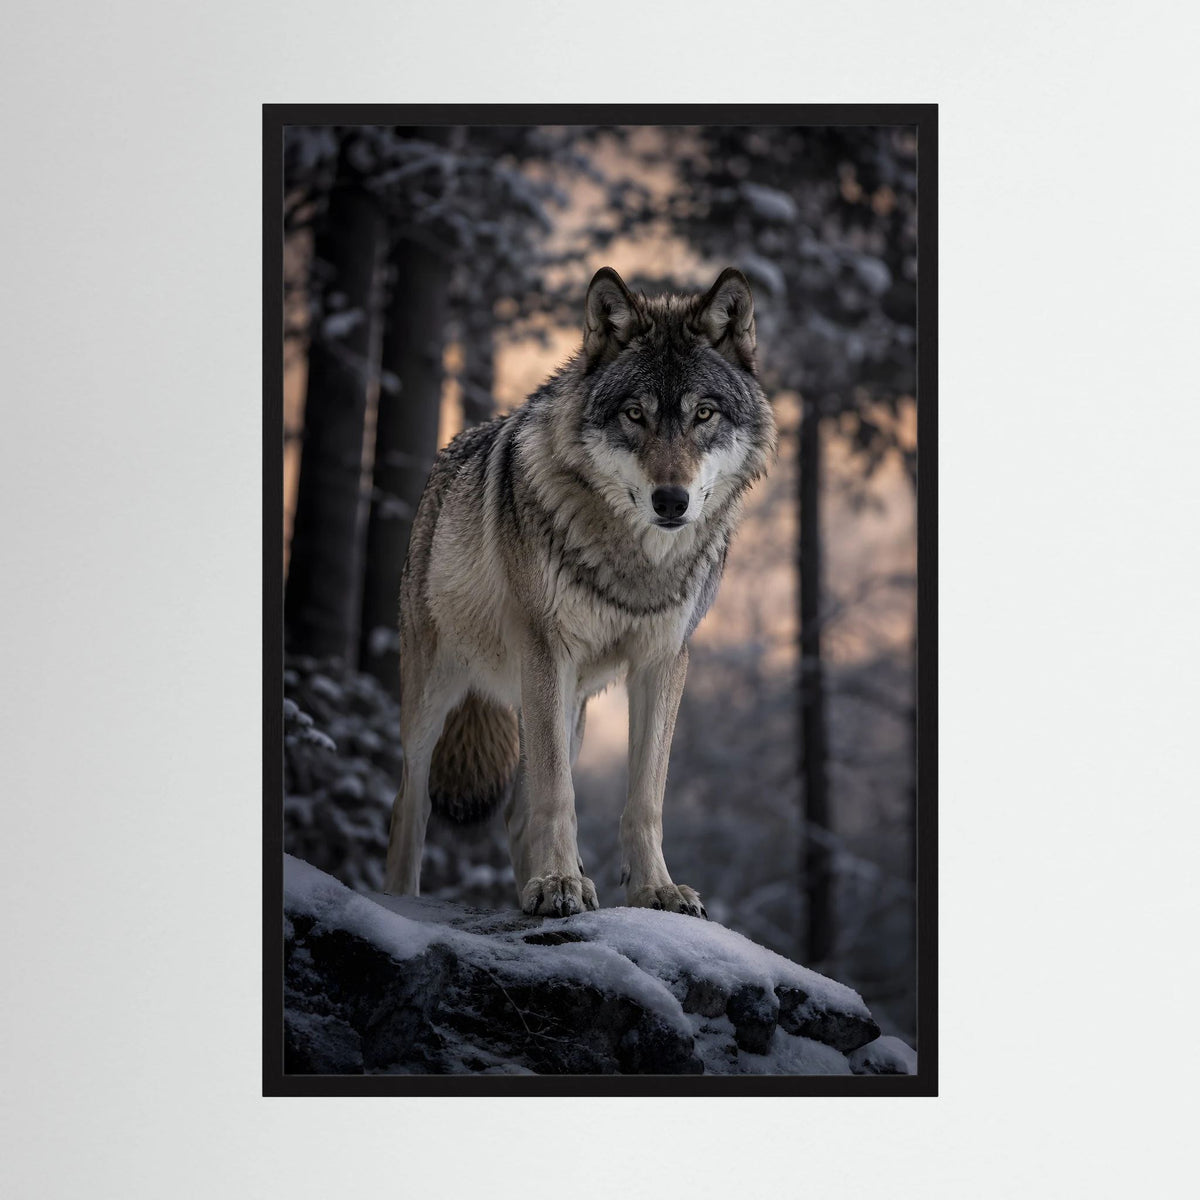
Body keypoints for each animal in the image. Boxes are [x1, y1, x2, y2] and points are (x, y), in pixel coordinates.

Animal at [384, 266, 775, 918]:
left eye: (704, 414)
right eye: (635, 414)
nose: (672, 500)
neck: (635, 561)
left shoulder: (663, 661)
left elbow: (645, 798)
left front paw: (655, 890)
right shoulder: (548, 651)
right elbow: (558, 794)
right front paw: (559, 884)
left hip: (571, 710)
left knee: (516, 814)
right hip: (439, 694)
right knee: (409, 803)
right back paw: (404, 902)